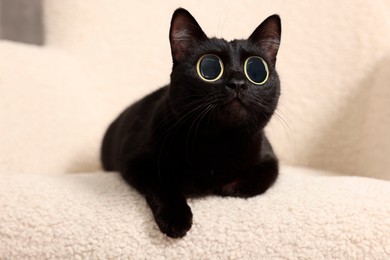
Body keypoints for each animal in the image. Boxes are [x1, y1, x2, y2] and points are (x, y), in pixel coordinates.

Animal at [102, 8, 282, 238]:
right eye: (209, 68)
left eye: (257, 71)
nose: (238, 83)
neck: (218, 143)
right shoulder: (136, 162)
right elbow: (162, 185)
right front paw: (176, 219)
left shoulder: (270, 159)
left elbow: (263, 178)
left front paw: (227, 187)